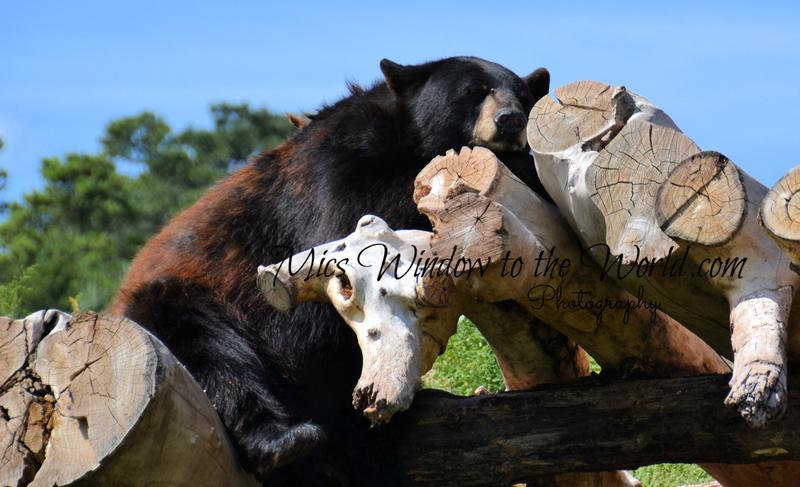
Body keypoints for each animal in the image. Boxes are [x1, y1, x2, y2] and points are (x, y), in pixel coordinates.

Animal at [109, 56, 550, 485]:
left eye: (522, 95)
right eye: (474, 92)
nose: (511, 119)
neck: (405, 137)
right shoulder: (332, 170)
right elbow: (355, 221)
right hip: (178, 306)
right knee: (212, 354)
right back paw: (285, 440)